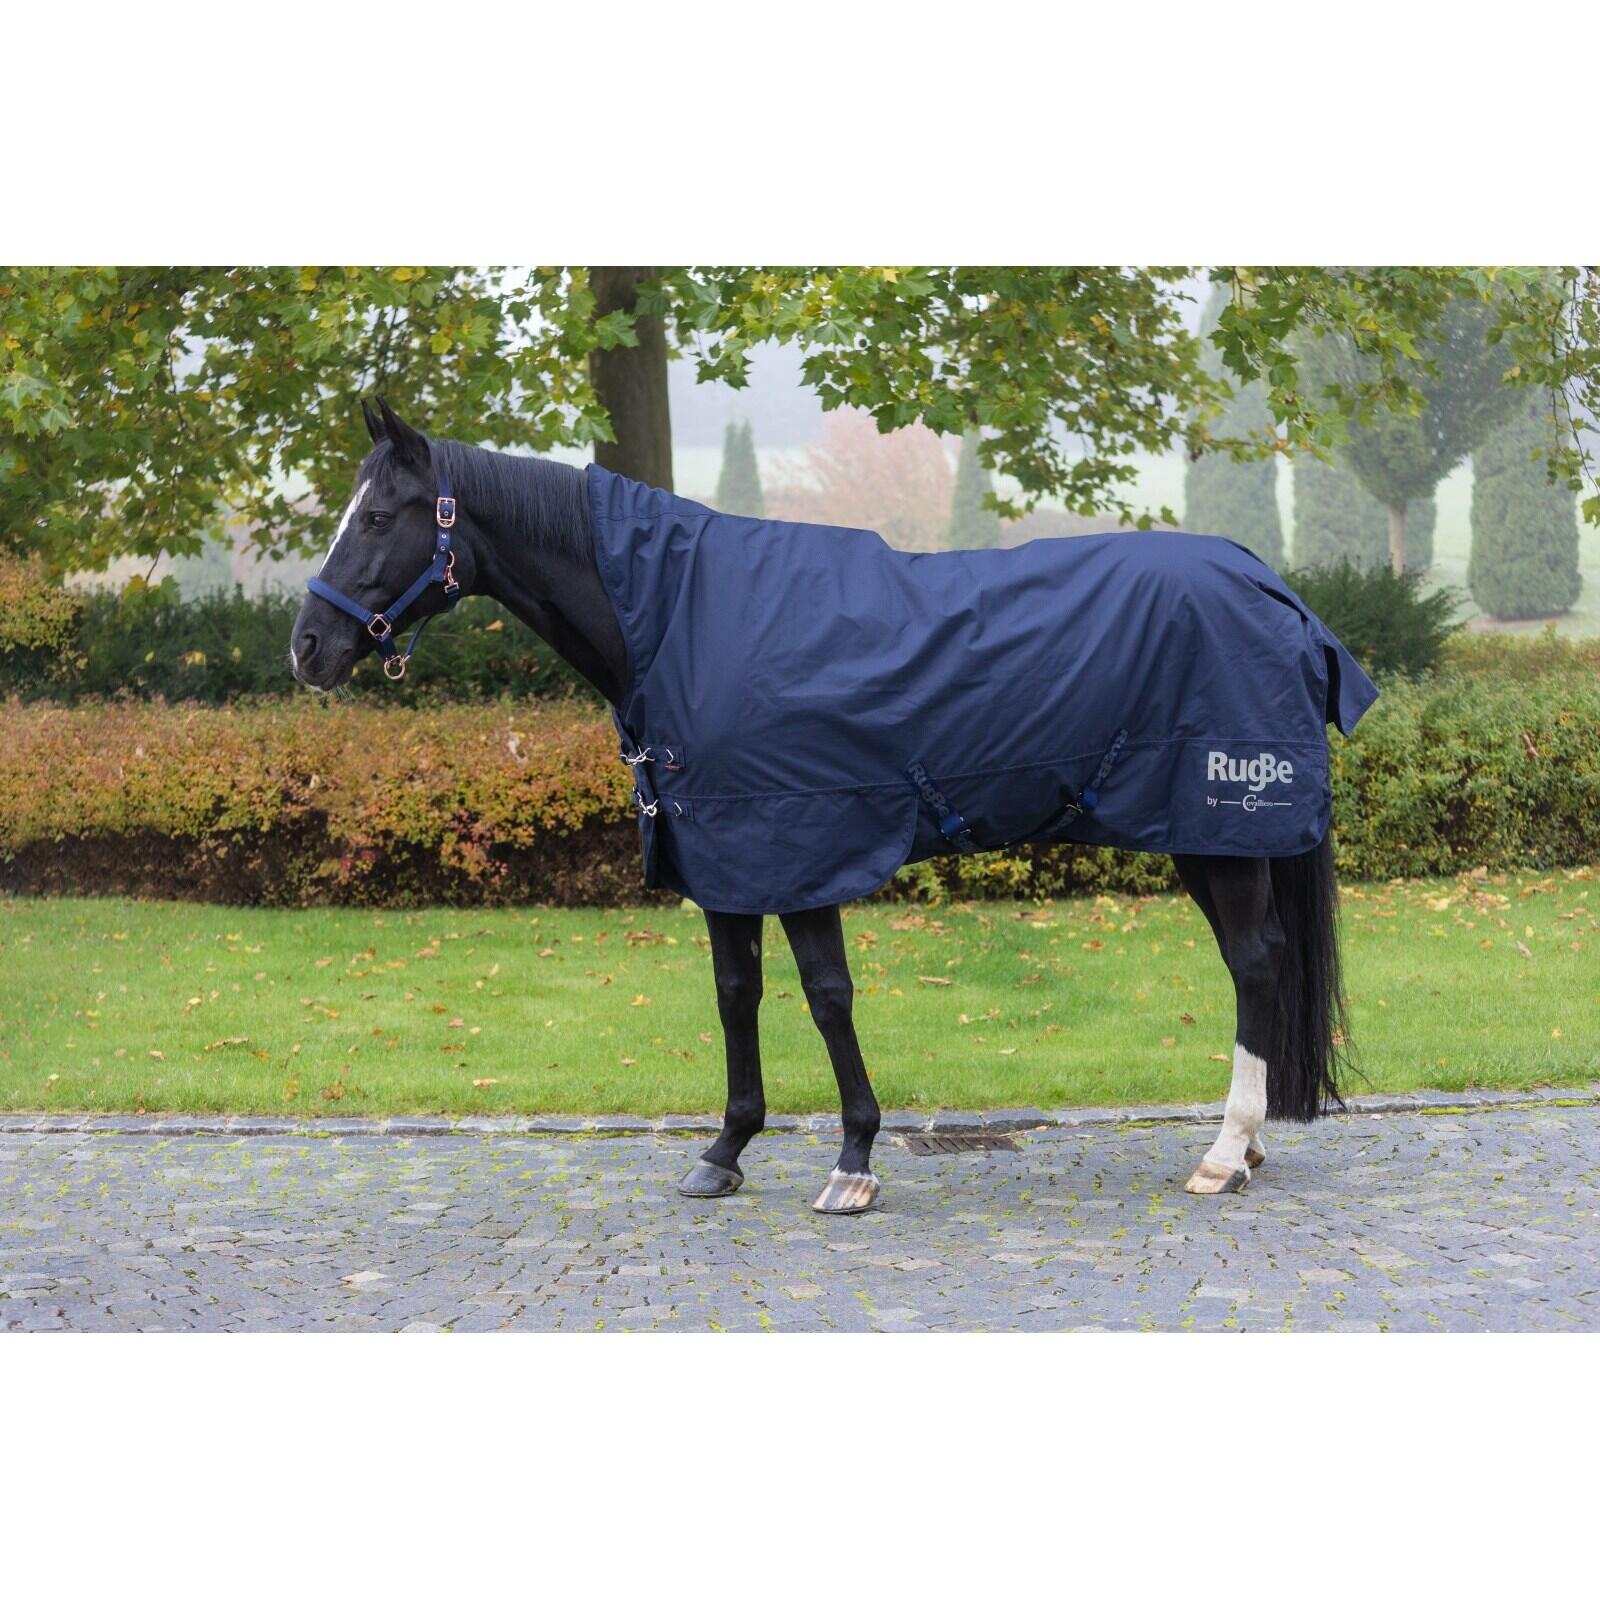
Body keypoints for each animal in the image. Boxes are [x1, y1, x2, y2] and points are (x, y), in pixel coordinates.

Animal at [290, 398, 1371, 1216]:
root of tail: (1275, 590)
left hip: (1221, 828)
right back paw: (1246, 1147)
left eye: (377, 519)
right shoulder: (724, 851)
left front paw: (853, 1161)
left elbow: (825, 997)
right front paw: (723, 1152)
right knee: (1255, 967)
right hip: (1204, 836)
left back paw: (1225, 1154)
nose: (306, 648)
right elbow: (736, 996)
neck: (679, 617)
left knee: (1254, 964)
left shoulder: (800, 838)